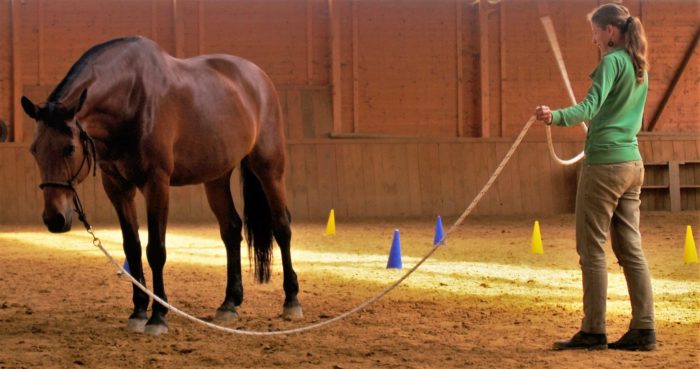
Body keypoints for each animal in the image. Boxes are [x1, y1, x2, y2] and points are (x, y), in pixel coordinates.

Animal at [21, 36, 300, 334]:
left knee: (281, 226)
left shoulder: (156, 183)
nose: (54, 218)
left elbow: (155, 250)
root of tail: (259, 78)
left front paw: (158, 316)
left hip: (269, 167)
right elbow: (132, 248)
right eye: (34, 150)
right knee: (231, 229)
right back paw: (229, 303)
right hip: (216, 177)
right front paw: (138, 312)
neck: (131, 97)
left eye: (70, 148)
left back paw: (291, 300)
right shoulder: (117, 186)